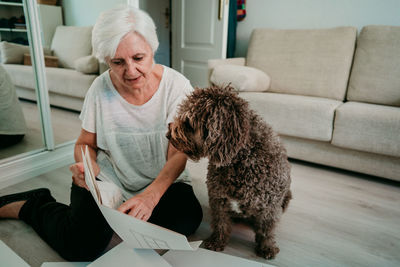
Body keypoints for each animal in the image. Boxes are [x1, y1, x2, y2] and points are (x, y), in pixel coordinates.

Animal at [167, 85, 292, 260]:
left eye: (188, 123)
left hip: (286, 199)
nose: (168, 135)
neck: (239, 162)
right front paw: (217, 242)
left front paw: (267, 247)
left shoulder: (270, 207)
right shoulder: (218, 199)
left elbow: (266, 230)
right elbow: (221, 223)